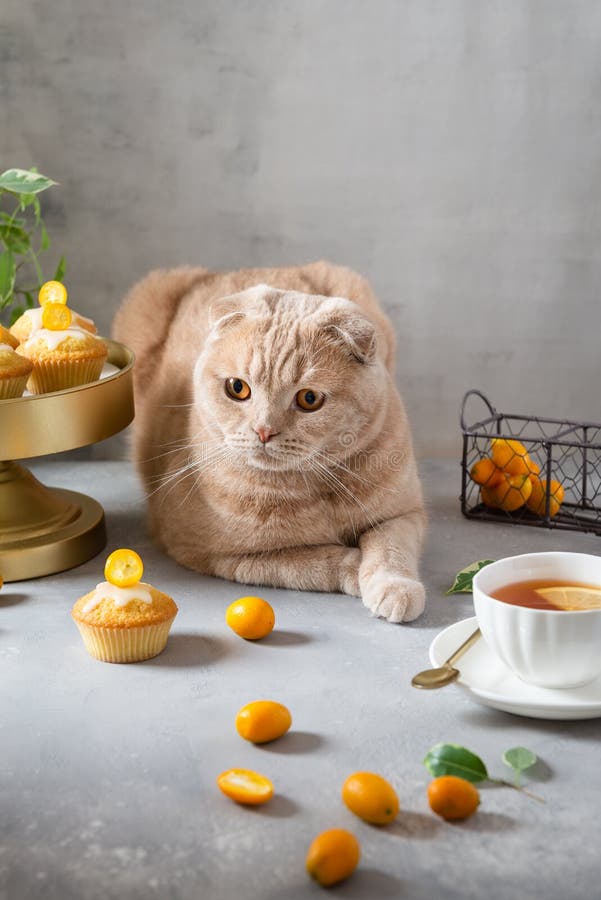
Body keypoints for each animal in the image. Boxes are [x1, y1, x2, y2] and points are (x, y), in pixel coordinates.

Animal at [113, 264, 426, 624]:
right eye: (237, 388)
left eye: (309, 399)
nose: (263, 430)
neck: (313, 490)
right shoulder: (218, 554)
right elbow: (314, 561)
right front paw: (354, 567)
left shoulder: (404, 513)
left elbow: (390, 548)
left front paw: (395, 587)